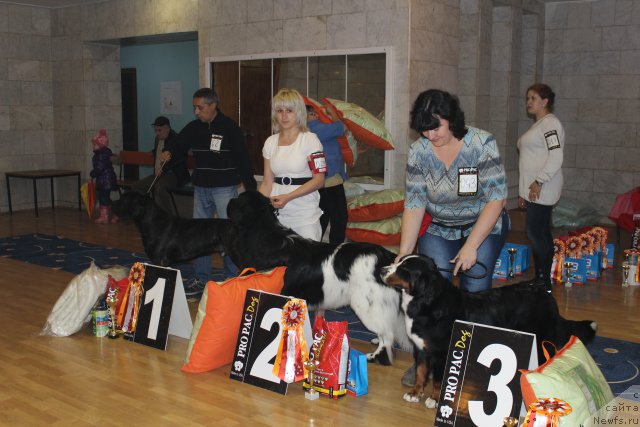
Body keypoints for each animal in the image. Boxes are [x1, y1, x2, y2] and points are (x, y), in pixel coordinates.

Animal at [222, 192, 408, 366]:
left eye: (238, 199)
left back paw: (376, 357)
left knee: (387, 335)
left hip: (366, 305)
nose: (229, 201)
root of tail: (385, 257)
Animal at [380, 254, 596, 408]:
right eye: (398, 262)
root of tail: (545, 293)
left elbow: (439, 380)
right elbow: (421, 373)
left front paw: (434, 399)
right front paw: (415, 394)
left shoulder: (442, 352)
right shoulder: (422, 349)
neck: (428, 303)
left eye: (405, 269)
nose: (382, 269)